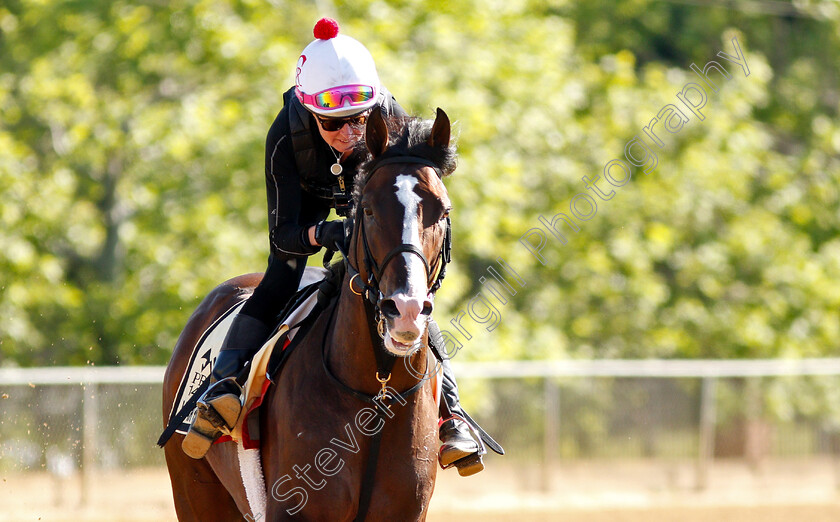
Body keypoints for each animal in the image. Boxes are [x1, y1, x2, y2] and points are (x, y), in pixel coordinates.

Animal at [162, 107, 456, 516]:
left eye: (442, 210)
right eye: (367, 209)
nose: (406, 309)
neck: (376, 394)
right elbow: (286, 232)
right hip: (194, 490)